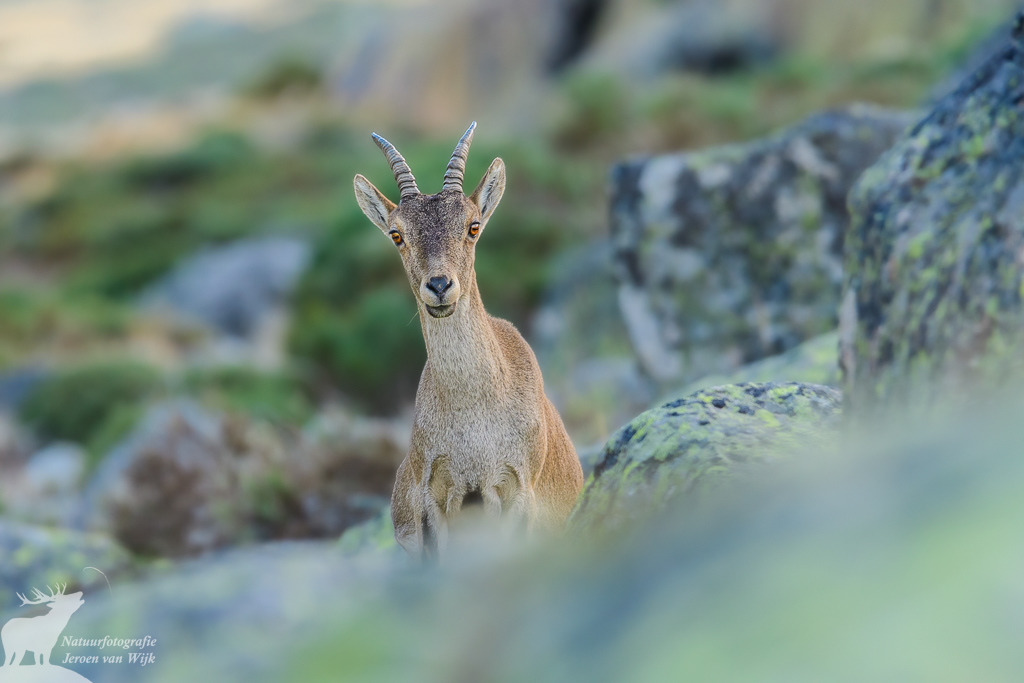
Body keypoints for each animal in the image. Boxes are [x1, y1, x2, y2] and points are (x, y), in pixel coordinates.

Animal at [353, 122, 583, 559]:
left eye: (473, 226)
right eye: (396, 234)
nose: (440, 286)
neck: (473, 409)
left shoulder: (519, 488)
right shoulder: (432, 497)